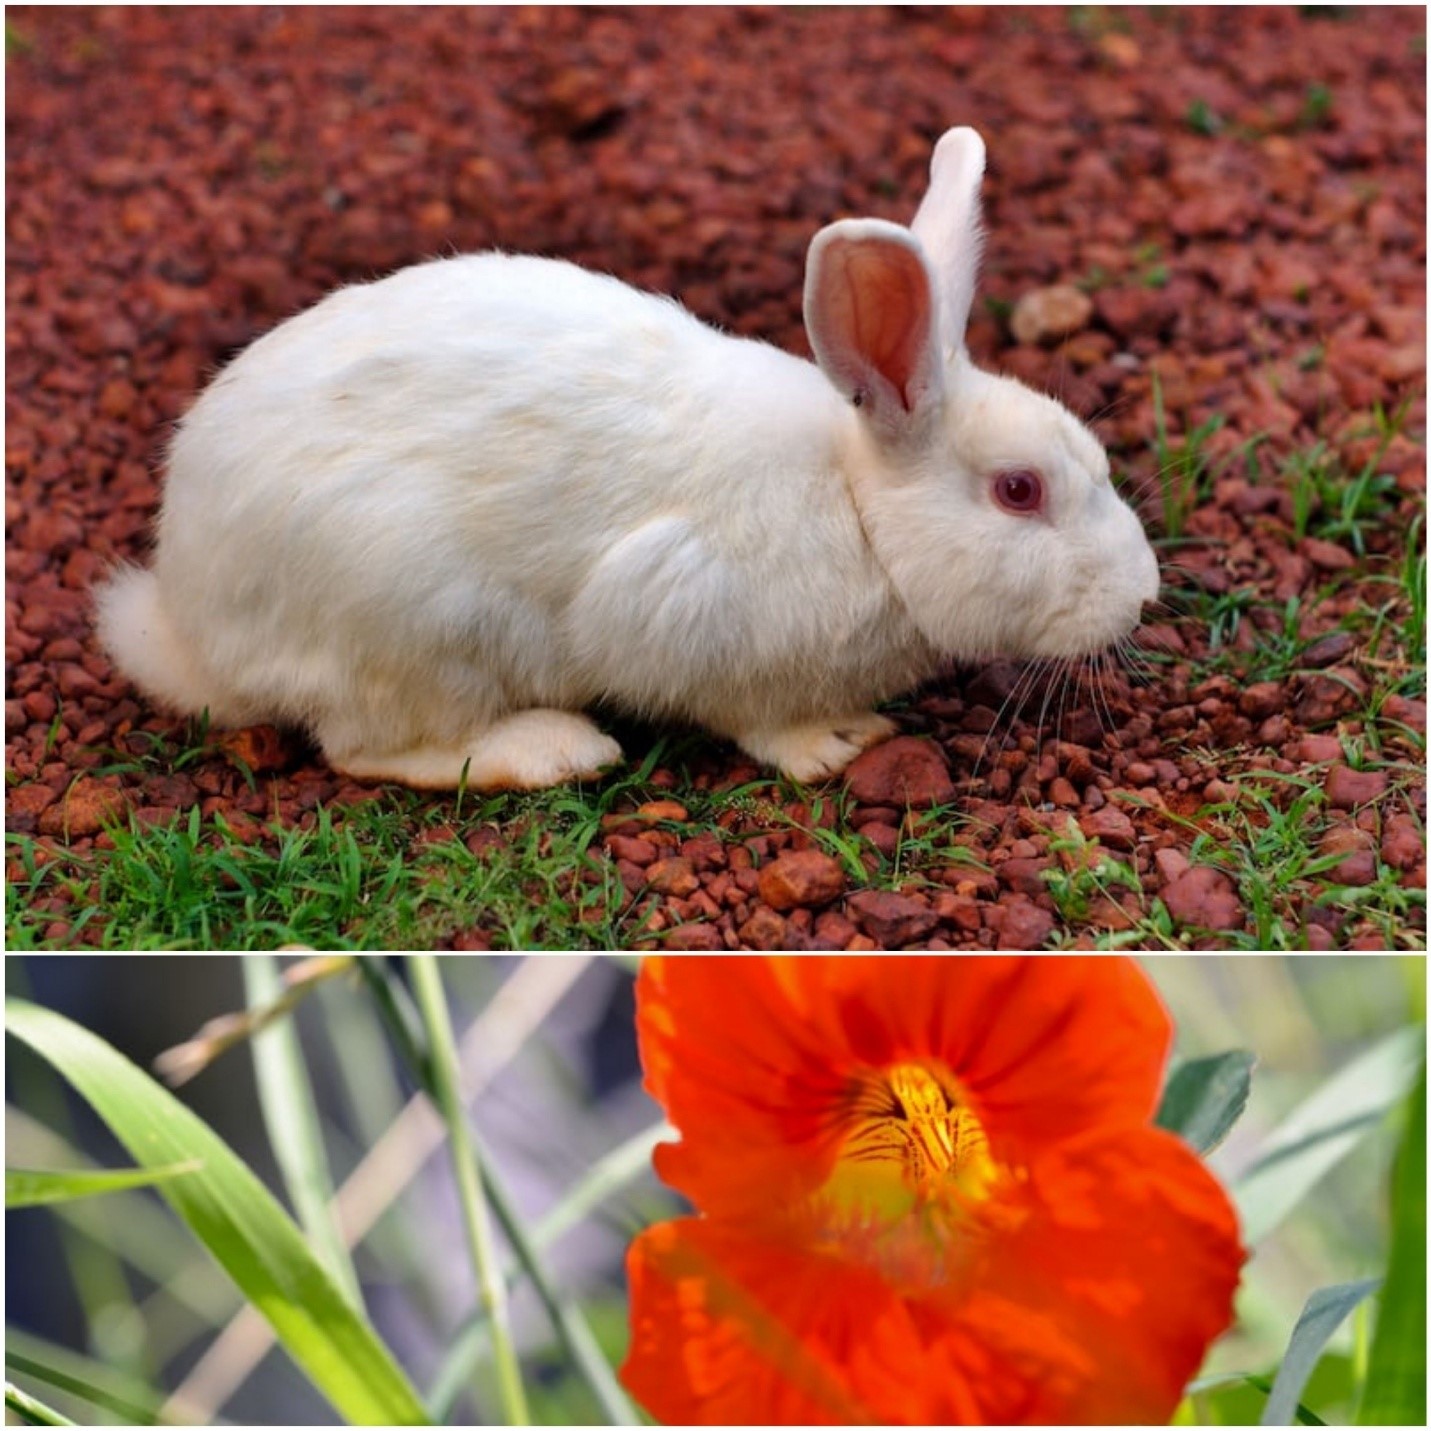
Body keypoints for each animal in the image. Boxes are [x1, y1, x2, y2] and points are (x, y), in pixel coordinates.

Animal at [95, 127, 1160, 791]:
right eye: (1017, 491)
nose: (1144, 594)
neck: (859, 507)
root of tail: (188, 622)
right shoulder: (681, 610)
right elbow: (752, 716)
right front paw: (837, 741)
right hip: (409, 625)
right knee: (366, 748)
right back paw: (552, 750)